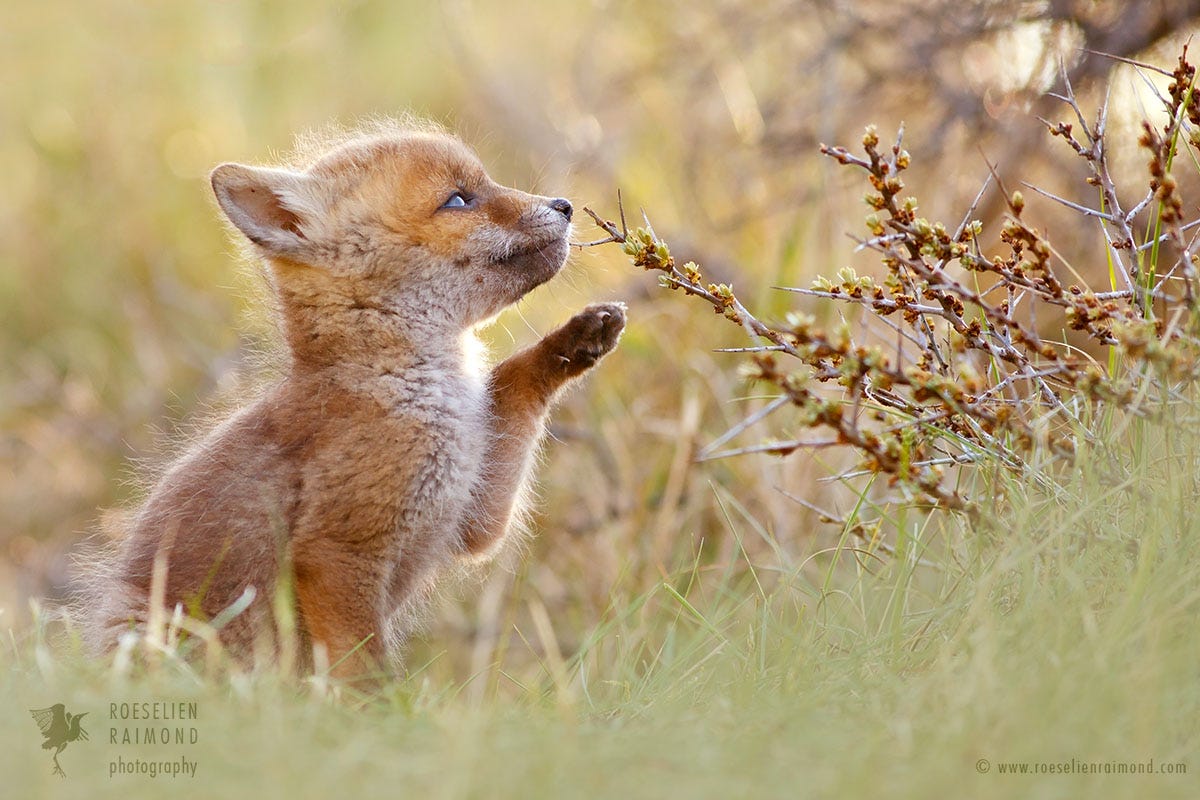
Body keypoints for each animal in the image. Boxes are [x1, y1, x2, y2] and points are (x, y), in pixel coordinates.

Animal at [85, 123, 628, 676]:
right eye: (458, 199)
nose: (564, 204)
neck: (418, 394)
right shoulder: (337, 552)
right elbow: (368, 673)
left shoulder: (471, 511)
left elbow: (516, 377)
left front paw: (575, 340)